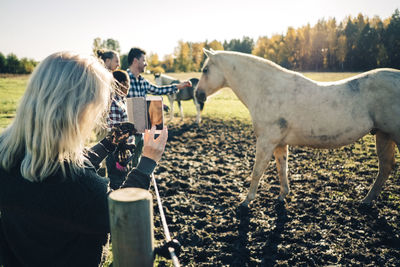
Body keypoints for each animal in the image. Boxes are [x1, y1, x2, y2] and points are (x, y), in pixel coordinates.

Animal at [196, 48, 400, 207]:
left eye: (205, 70)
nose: (198, 95)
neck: (268, 89)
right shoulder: (279, 143)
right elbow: (282, 169)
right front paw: (282, 196)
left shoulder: (266, 142)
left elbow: (257, 171)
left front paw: (246, 201)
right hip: (383, 135)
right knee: (385, 168)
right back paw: (366, 200)